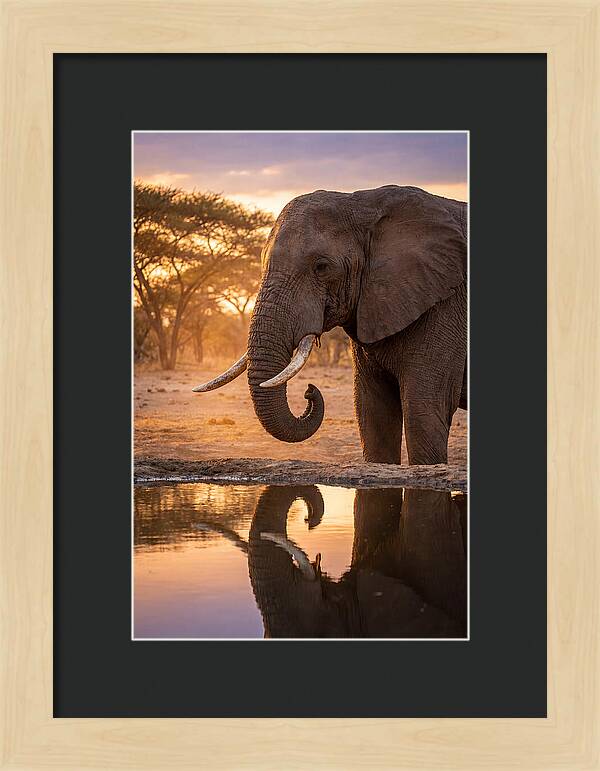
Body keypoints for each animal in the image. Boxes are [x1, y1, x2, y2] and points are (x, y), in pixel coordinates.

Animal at [193, 185, 467, 465]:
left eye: (322, 267)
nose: (309, 391)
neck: (365, 203)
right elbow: (373, 413)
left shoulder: (445, 305)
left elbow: (423, 411)